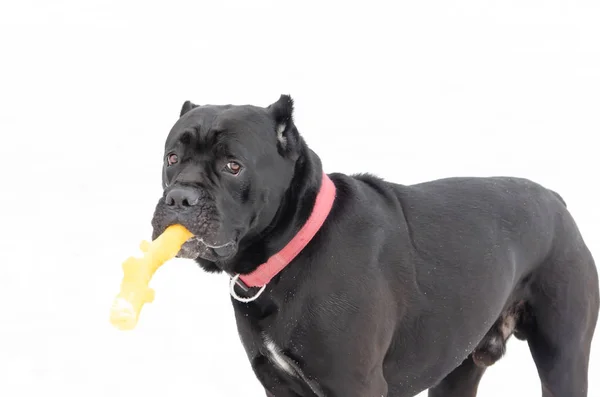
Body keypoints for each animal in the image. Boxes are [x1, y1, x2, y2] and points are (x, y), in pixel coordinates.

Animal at [152, 94, 596, 394]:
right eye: (171, 158)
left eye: (233, 166)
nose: (180, 198)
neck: (292, 251)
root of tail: (556, 200)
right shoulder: (277, 383)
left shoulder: (353, 383)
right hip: (457, 367)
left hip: (563, 355)